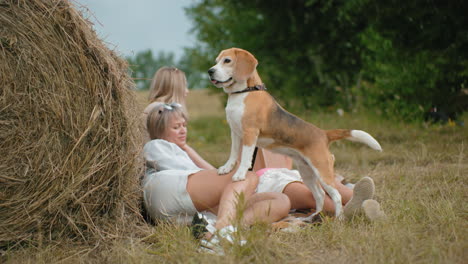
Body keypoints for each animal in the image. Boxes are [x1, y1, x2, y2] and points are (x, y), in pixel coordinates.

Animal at [207, 48, 380, 221]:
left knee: (336, 195)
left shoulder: (250, 133)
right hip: (307, 172)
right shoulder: (235, 132)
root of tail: (323, 134)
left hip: (322, 170)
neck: (245, 92)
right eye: (216, 61)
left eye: (227, 61)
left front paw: (240, 174)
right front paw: (226, 168)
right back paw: (313, 217)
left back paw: (338, 220)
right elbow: (233, 154)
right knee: (319, 195)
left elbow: (244, 158)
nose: (210, 71)